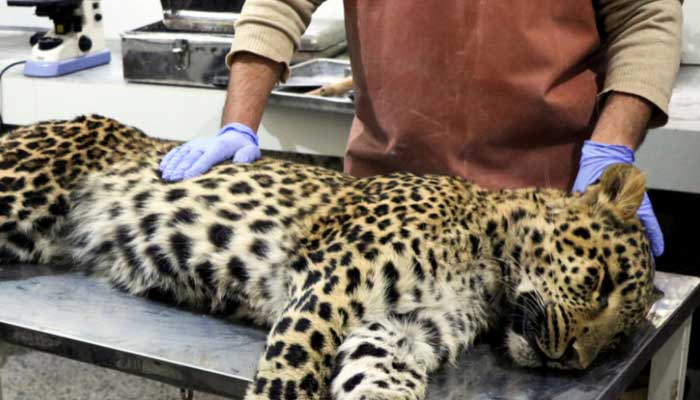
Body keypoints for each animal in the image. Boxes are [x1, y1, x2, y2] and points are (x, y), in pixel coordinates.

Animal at [0, 115, 660, 400]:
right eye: (600, 283)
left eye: (616, 346)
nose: (572, 362)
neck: (488, 272)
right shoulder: (329, 287)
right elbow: (292, 374)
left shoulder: (399, 331)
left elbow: (380, 384)